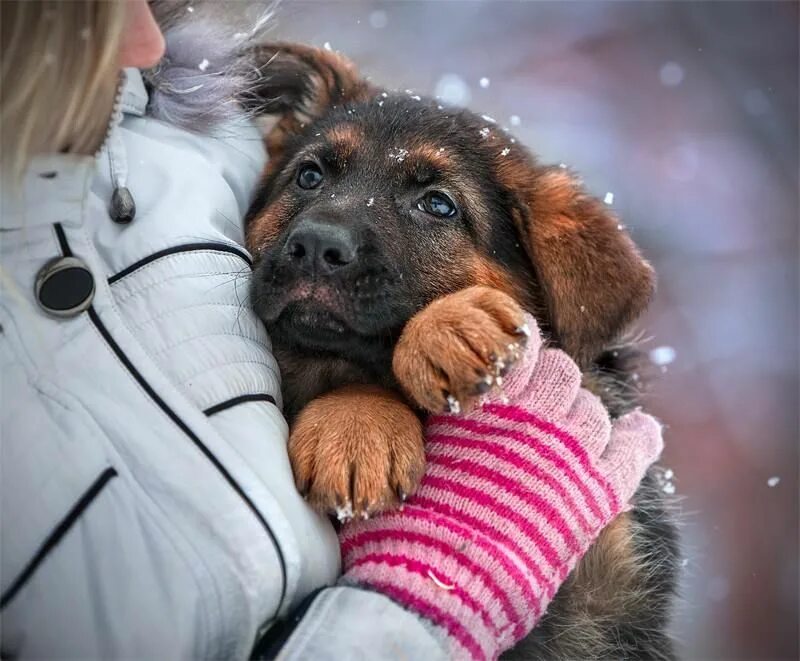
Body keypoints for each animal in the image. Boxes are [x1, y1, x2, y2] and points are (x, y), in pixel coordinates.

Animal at [245, 43, 680, 656]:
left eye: (439, 206)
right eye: (309, 176)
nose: (315, 246)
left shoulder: (610, 577)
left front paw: (449, 329)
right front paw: (357, 425)